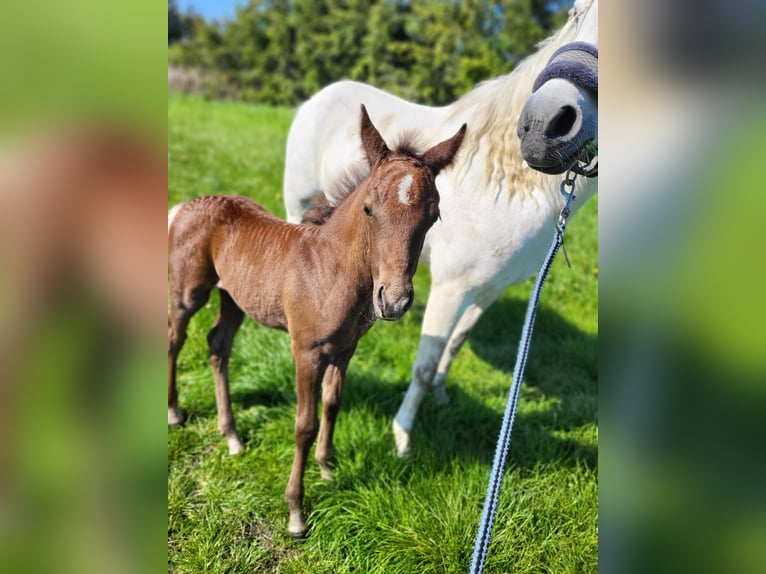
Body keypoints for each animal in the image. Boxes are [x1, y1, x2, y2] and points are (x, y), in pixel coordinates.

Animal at [170, 104, 468, 540]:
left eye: (433, 217)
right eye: (368, 209)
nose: (393, 301)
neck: (330, 270)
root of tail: (185, 206)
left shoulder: (345, 349)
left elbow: (333, 403)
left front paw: (327, 469)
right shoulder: (307, 352)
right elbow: (304, 425)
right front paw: (296, 512)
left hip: (234, 299)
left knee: (217, 345)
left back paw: (233, 437)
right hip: (189, 293)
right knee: (175, 338)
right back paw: (175, 412)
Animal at [284, 0, 600, 460]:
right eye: (576, 13)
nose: (547, 126)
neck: (505, 181)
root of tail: (325, 94)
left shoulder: (489, 289)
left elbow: (454, 344)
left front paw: (441, 395)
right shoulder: (451, 287)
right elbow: (425, 362)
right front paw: (402, 438)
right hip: (298, 203)